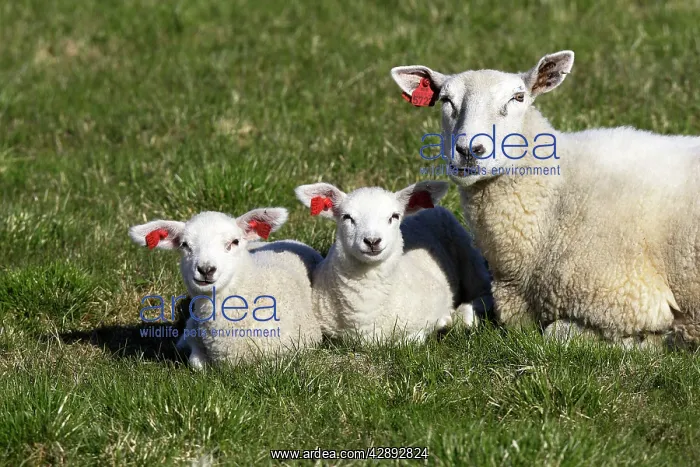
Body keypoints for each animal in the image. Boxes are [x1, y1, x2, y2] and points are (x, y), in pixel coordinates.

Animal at [294, 180, 493, 342]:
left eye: (394, 216)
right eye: (347, 217)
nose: (372, 241)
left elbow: (409, 340)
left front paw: (444, 321)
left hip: (466, 252)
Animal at [391, 50, 700, 347]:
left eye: (518, 97)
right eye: (446, 100)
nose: (469, 150)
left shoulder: (632, 299)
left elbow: (557, 334)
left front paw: (658, 341)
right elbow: (461, 315)